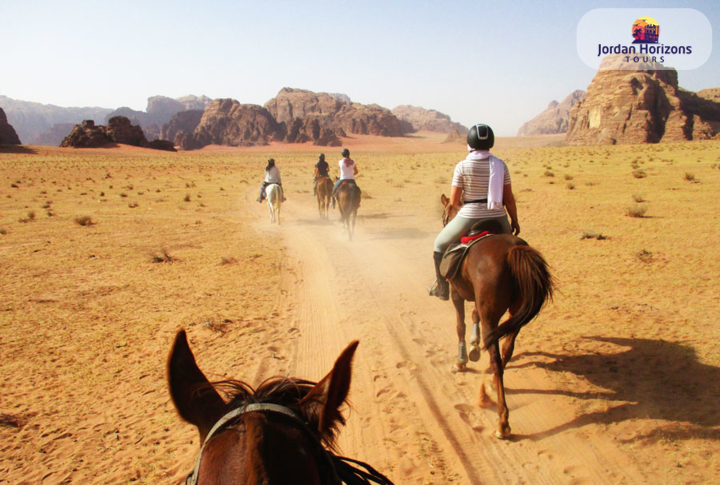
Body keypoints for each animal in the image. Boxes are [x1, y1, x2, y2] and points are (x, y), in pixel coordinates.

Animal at [438, 194, 556, 438]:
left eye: (444, 214)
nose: (443, 223)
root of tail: (512, 251)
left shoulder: (456, 294)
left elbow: (460, 325)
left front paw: (461, 360)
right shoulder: (479, 301)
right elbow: (474, 316)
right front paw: (474, 346)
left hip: (492, 317)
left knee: (496, 359)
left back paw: (502, 422)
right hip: (515, 312)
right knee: (507, 348)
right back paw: (493, 385)